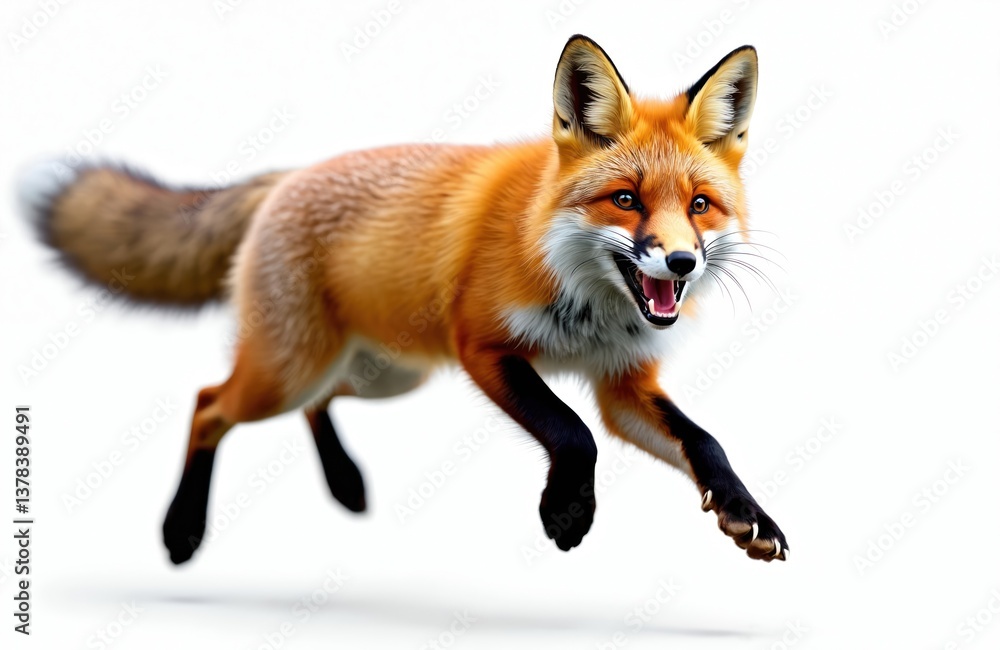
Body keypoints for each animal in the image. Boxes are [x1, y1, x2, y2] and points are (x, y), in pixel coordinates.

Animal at [20, 35, 788, 565]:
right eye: (626, 200)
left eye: (699, 205)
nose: (682, 261)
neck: (581, 297)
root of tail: (287, 177)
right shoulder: (483, 347)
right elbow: (572, 431)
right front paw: (566, 514)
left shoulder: (623, 384)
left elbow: (703, 440)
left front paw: (746, 512)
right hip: (288, 372)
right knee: (209, 404)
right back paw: (181, 530)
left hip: (383, 374)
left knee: (317, 405)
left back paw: (344, 483)